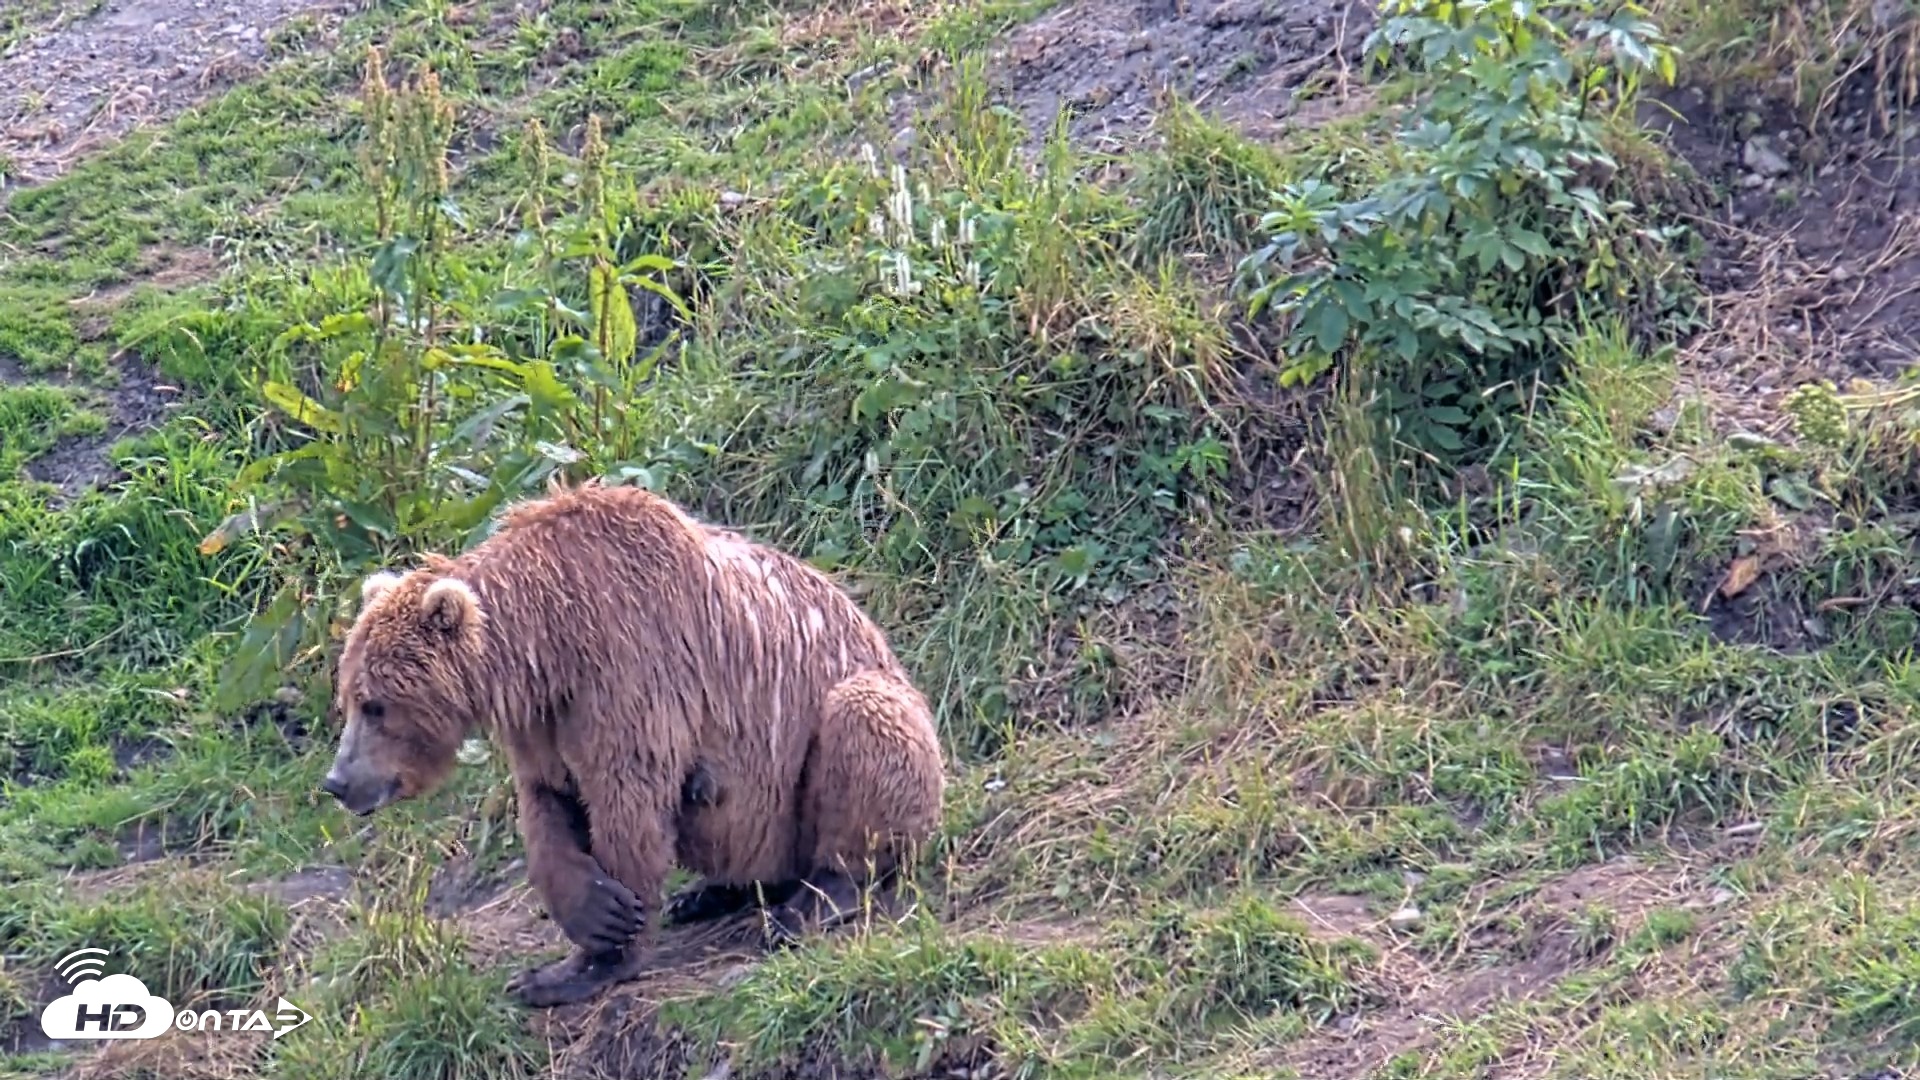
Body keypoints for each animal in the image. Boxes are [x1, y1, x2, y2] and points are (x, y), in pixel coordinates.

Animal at [318, 479, 948, 1007]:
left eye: (375, 705)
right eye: (348, 697)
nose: (338, 782)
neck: (548, 643)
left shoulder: (632, 667)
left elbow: (629, 801)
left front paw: (586, 963)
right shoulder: (545, 721)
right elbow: (548, 805)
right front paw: (593, 915)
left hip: (857, 721)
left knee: (864, 728)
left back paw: (813, 900)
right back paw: (705, 895)